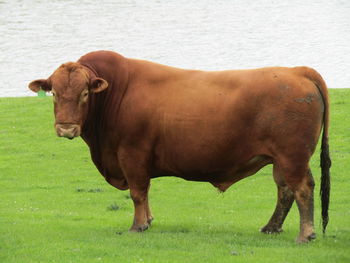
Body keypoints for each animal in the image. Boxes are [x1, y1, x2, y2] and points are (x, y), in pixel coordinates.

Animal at [29, 50, 330, 244]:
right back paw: (271, 228)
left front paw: (138, 226)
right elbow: (146, 193)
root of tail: (297, 71)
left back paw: (306, 235)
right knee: (286, 190)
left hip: (292, 156)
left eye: (84, 93)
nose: (66, 128)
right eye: (54, 93)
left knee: (301, 189)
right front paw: (148, 220)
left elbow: (138, 192)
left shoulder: (132, 154)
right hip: (284, 159)